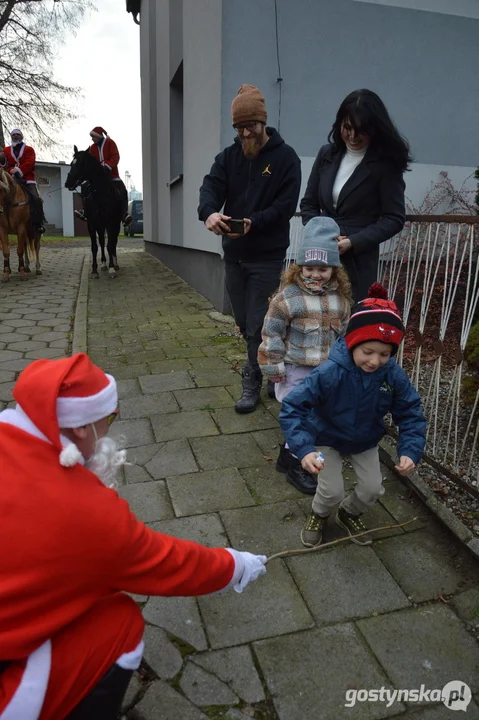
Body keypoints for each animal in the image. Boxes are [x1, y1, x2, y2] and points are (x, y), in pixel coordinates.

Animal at [64, 146, 123, 278]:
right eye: (71, 163)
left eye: (81, 163)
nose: (68, 182)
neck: (100, 194)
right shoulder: (91, 224)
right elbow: (95, 246)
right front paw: (95, 270)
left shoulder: (110, 223)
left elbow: (110, 245)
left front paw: (112, 268)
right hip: (100, 226)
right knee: (101, 242)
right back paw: (103, 264)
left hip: (114, 224)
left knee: (113, 242)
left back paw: (115, 264)